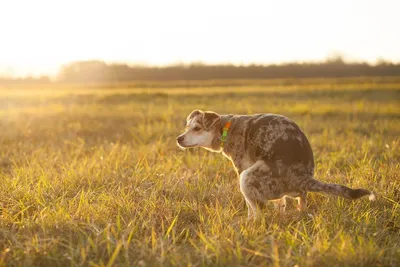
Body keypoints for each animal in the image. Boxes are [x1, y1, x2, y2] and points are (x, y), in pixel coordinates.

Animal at [176, 110, 376, 220]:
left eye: (197, 128)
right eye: (186, 127)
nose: (179, 138)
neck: (226, 128)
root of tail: (302, 177)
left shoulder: (242, 168)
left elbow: (251, 207)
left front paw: (248, 221)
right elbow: (280, 204)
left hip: (247, 177)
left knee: (259, 209)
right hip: (296, 194)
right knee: (299, 205)